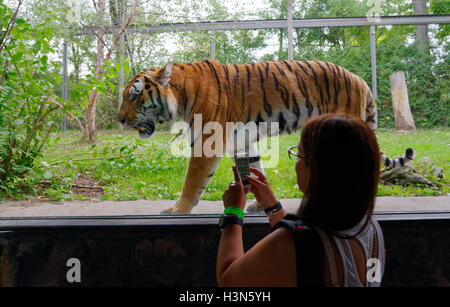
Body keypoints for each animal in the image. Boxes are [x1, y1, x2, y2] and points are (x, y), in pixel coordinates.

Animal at [118, 59, 414, 214]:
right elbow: (255, 171)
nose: (120, 120)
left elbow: (192, 182)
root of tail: (359, 79)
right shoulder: (242, 142)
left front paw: (178, 210)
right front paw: (261, 205)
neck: (180, 96)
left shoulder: (206, 143)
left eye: (134, 96)